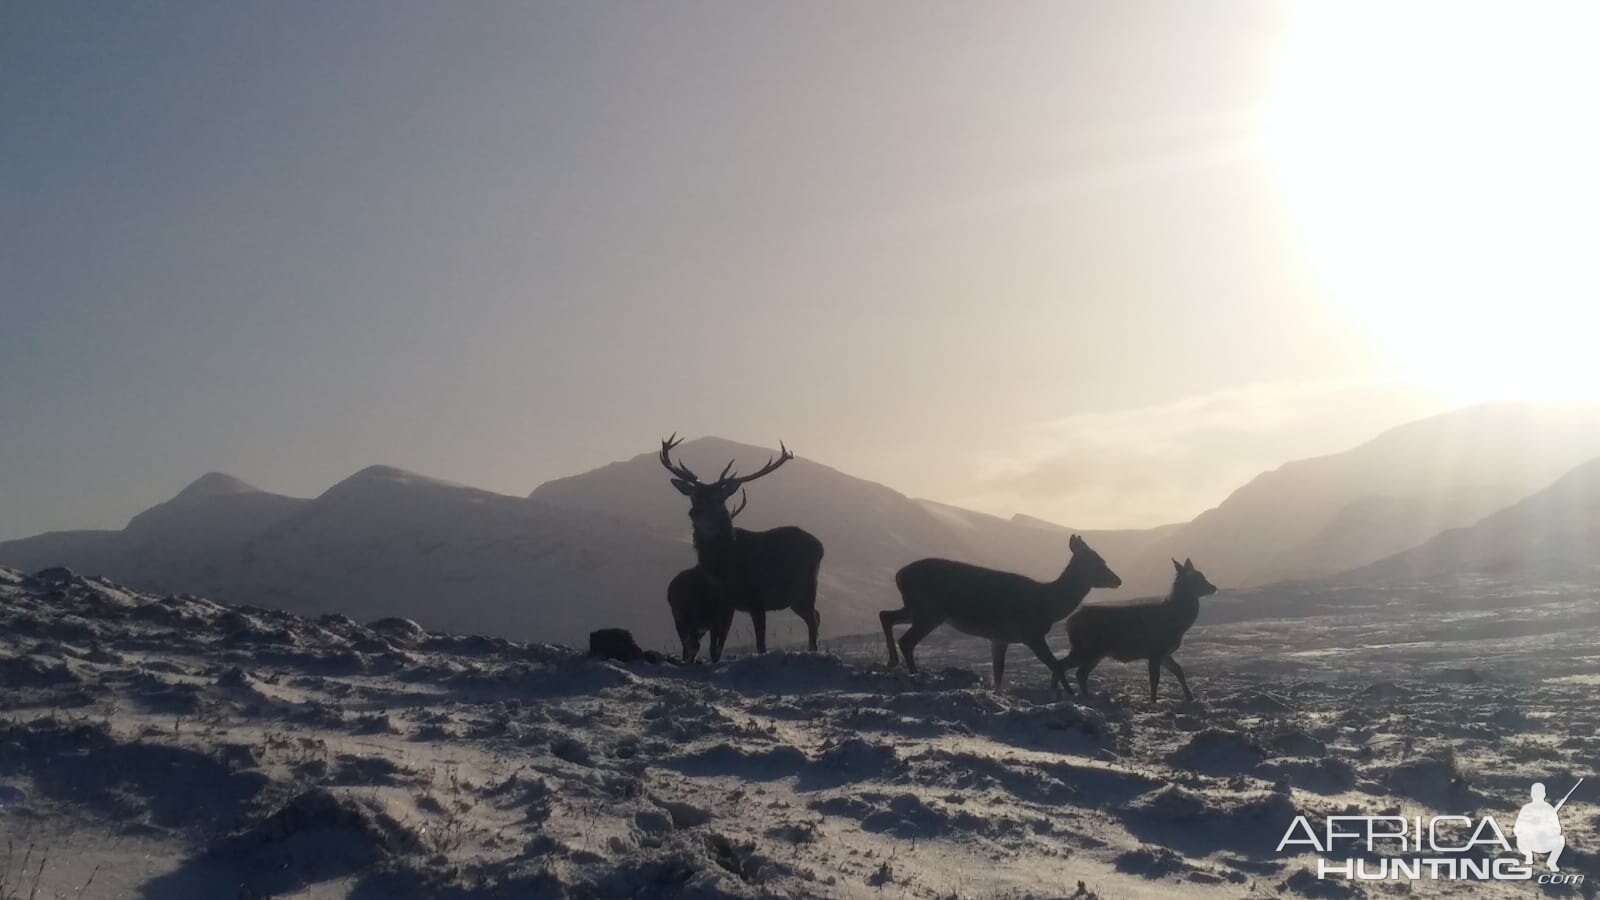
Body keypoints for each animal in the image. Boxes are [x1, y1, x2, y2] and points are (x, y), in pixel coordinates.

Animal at [656, 432, 825, 650]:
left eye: (717, 498)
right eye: (693, 496)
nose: (695, 512)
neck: (726, 567)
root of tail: (820, 546)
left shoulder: (757, 598)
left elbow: (761, 645)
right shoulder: (726, 604)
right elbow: (716, 648)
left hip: (804, 586)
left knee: (813, 619)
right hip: (796, 597)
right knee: (816, 616)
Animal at [883, 531, 1120, 685]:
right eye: (1099, 562)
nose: (1118, 580)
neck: (1048, 604)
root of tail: (899, 575)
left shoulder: (1000, 637)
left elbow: (999, 674)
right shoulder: (1030, 633)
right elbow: (1054, 664)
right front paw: (1068, 696)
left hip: (915, 607)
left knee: (885, 615)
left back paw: (893, 662)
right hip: (929, 610)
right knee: (906, 640)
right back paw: (913, 673)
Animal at [1062, 554, 1209, 701]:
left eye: (1202, 576)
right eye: (1197, 578)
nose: (1212, 587)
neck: (1178, 624)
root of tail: (1069, 623)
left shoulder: (1164, 653)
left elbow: (1178, 670)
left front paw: (1190, 697)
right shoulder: (1155, 650)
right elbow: (1155, 679)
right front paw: (1154, 701)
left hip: (1094, 652)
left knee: (1080, 673)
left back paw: (1086, 696)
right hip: (1086, 648)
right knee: (1063, 665)